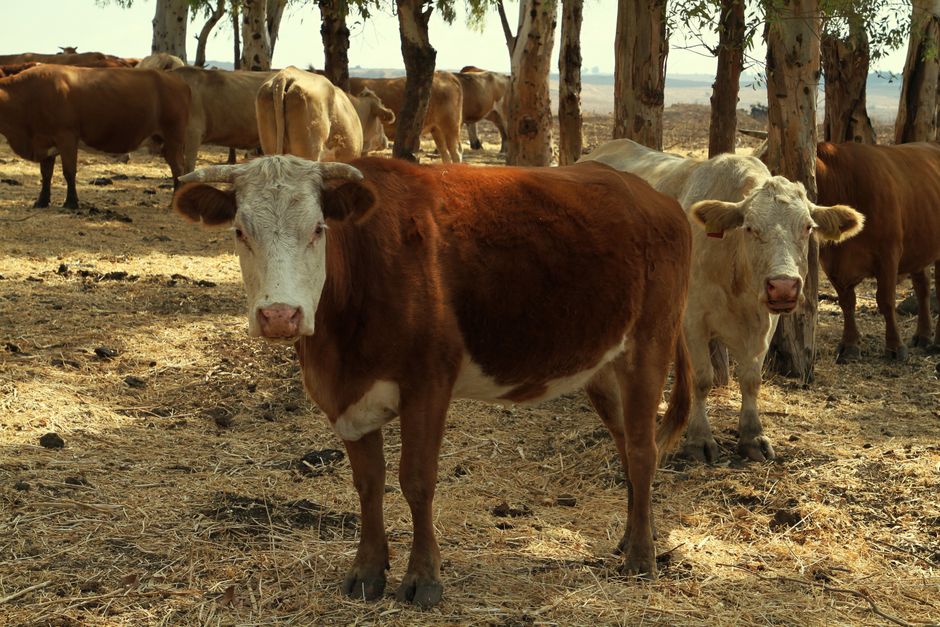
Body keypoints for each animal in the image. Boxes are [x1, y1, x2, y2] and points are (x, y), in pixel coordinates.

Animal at [0, 65, 190, 208]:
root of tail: (175, 79)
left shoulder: (66, 136)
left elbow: (69, 171)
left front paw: (71, 203)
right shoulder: (45, 141)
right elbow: (46, 174)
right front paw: (41, 202)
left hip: (174, 138)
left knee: (178, 169)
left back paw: (174, 204)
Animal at [172, 154, 693, 605]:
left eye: (318, 230)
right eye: (241, 231)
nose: (280, 315)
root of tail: (656, 197)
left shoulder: (428, 383)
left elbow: (416, 480)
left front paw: (423, 578)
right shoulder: (346, 400)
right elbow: (368, 483)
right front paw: (367, 571)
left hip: (649, 345)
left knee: (642, 450)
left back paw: (641, 558)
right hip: (601, 364)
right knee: (626, 444)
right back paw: (634, 536)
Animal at [580, 139, 864, 463]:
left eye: (807, 227)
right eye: (750, 227)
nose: (783, 286)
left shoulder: (765, 323)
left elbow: (751, 379)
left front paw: (753, 436)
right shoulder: (692, 320)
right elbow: (702, 378)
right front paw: (699, 439)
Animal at [815, 141, 940, 360]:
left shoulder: (888, 253)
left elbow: (885, 300)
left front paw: (895, 347)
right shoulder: (831, 262)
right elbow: (847, 302)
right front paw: (849, 345)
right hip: (919, 246)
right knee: (922, 288)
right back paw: (923, 336)